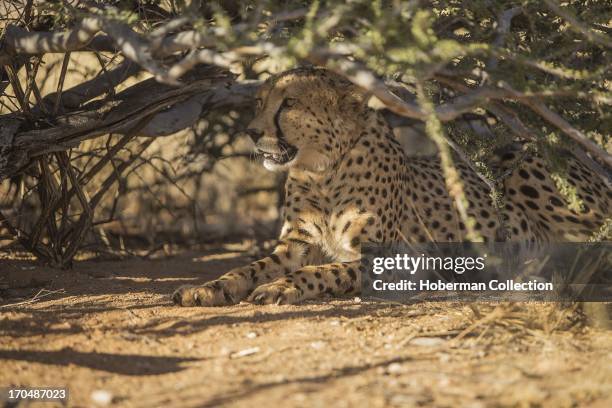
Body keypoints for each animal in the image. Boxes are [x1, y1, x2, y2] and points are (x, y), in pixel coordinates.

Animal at [172, 67, 612, 306]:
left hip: (524, 164)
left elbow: (319, 271)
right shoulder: (295, 244)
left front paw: (281, 286)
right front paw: (208, 288)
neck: (322, 170)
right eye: (260, 102)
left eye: (290, 104)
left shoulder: (385, 258)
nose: (250, 131)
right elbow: (247, 267)